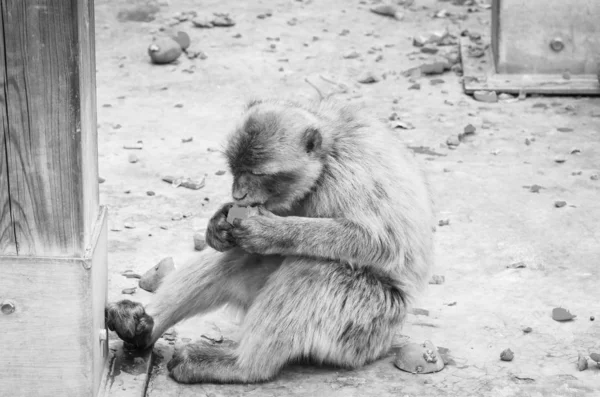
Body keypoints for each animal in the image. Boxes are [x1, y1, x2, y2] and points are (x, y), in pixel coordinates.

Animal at [106, 96, 436, 384]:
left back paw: (243, 366)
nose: (238, 194)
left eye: (257, 173)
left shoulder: (353, 174)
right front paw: (217, 223)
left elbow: (380, 243)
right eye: (235, 169)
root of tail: (388, 340)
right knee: (238, 257)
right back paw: (142, 329)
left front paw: (270, 231)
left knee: (315, 268)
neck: (326, 161)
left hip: (366, 327)